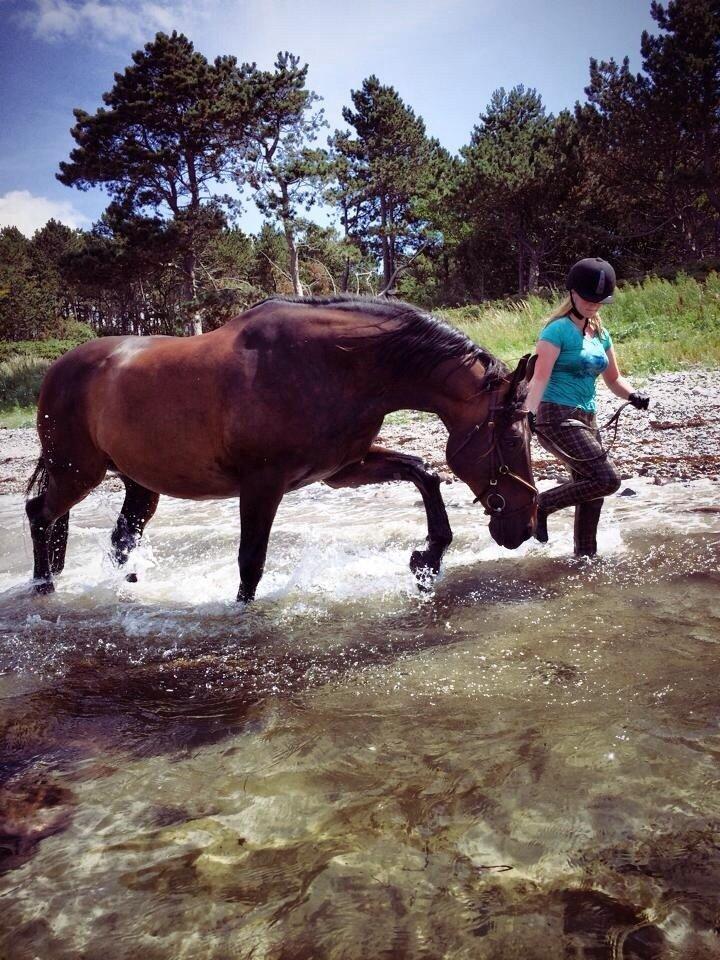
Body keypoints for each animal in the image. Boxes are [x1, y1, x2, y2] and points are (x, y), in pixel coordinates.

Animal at [25, 296, 536, 604]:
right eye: (513, 438)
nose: (526, 524)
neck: (330, 364)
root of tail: (59, 368)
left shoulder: (342, 469)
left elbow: (423, 472)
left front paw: (427, 560)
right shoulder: (262, 485)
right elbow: (251, 561)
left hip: (138, 483)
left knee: (121, 539)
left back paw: (129, 590)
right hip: (76, 471)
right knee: (40, 513)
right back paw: (43, 585)